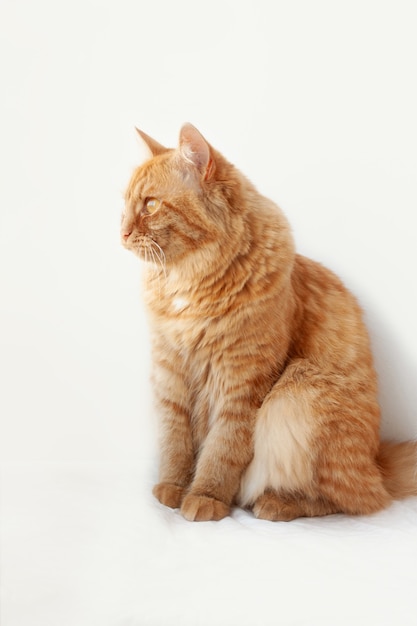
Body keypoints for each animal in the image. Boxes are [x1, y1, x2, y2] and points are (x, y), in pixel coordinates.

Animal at [120, 123, 416, 520]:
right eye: (124, 205)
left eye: (150, 205)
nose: (120, 232)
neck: (190, 282)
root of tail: (377, 462)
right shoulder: (171, 375)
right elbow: (175, 443)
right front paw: (172, 489)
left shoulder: (243, 380)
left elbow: (221, 450)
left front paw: (206, 498)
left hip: (297, 393)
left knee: (353, 501)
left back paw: (276, 503)